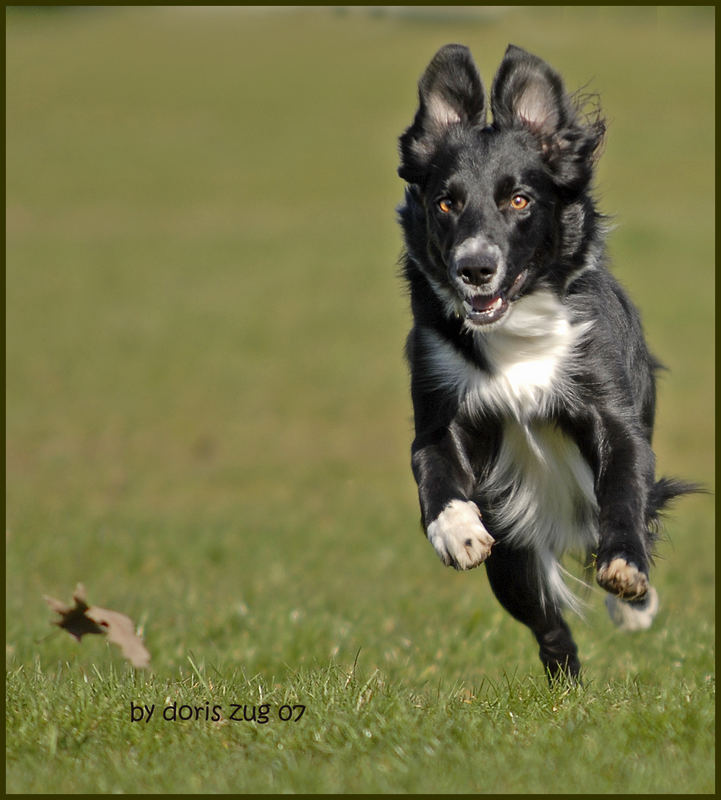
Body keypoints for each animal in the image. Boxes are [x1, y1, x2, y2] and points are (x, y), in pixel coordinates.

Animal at [394, 43, 692, 680]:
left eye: (520, 200)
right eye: (446, 202)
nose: (474, 268)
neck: (516, 327)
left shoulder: (607, 403)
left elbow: (625, 486)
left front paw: (626, 570)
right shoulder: (441, 402)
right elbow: (433, 468)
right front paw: (458, 533)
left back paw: (632, 606)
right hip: (515, 552)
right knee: (546, 622)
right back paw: (566, 682)